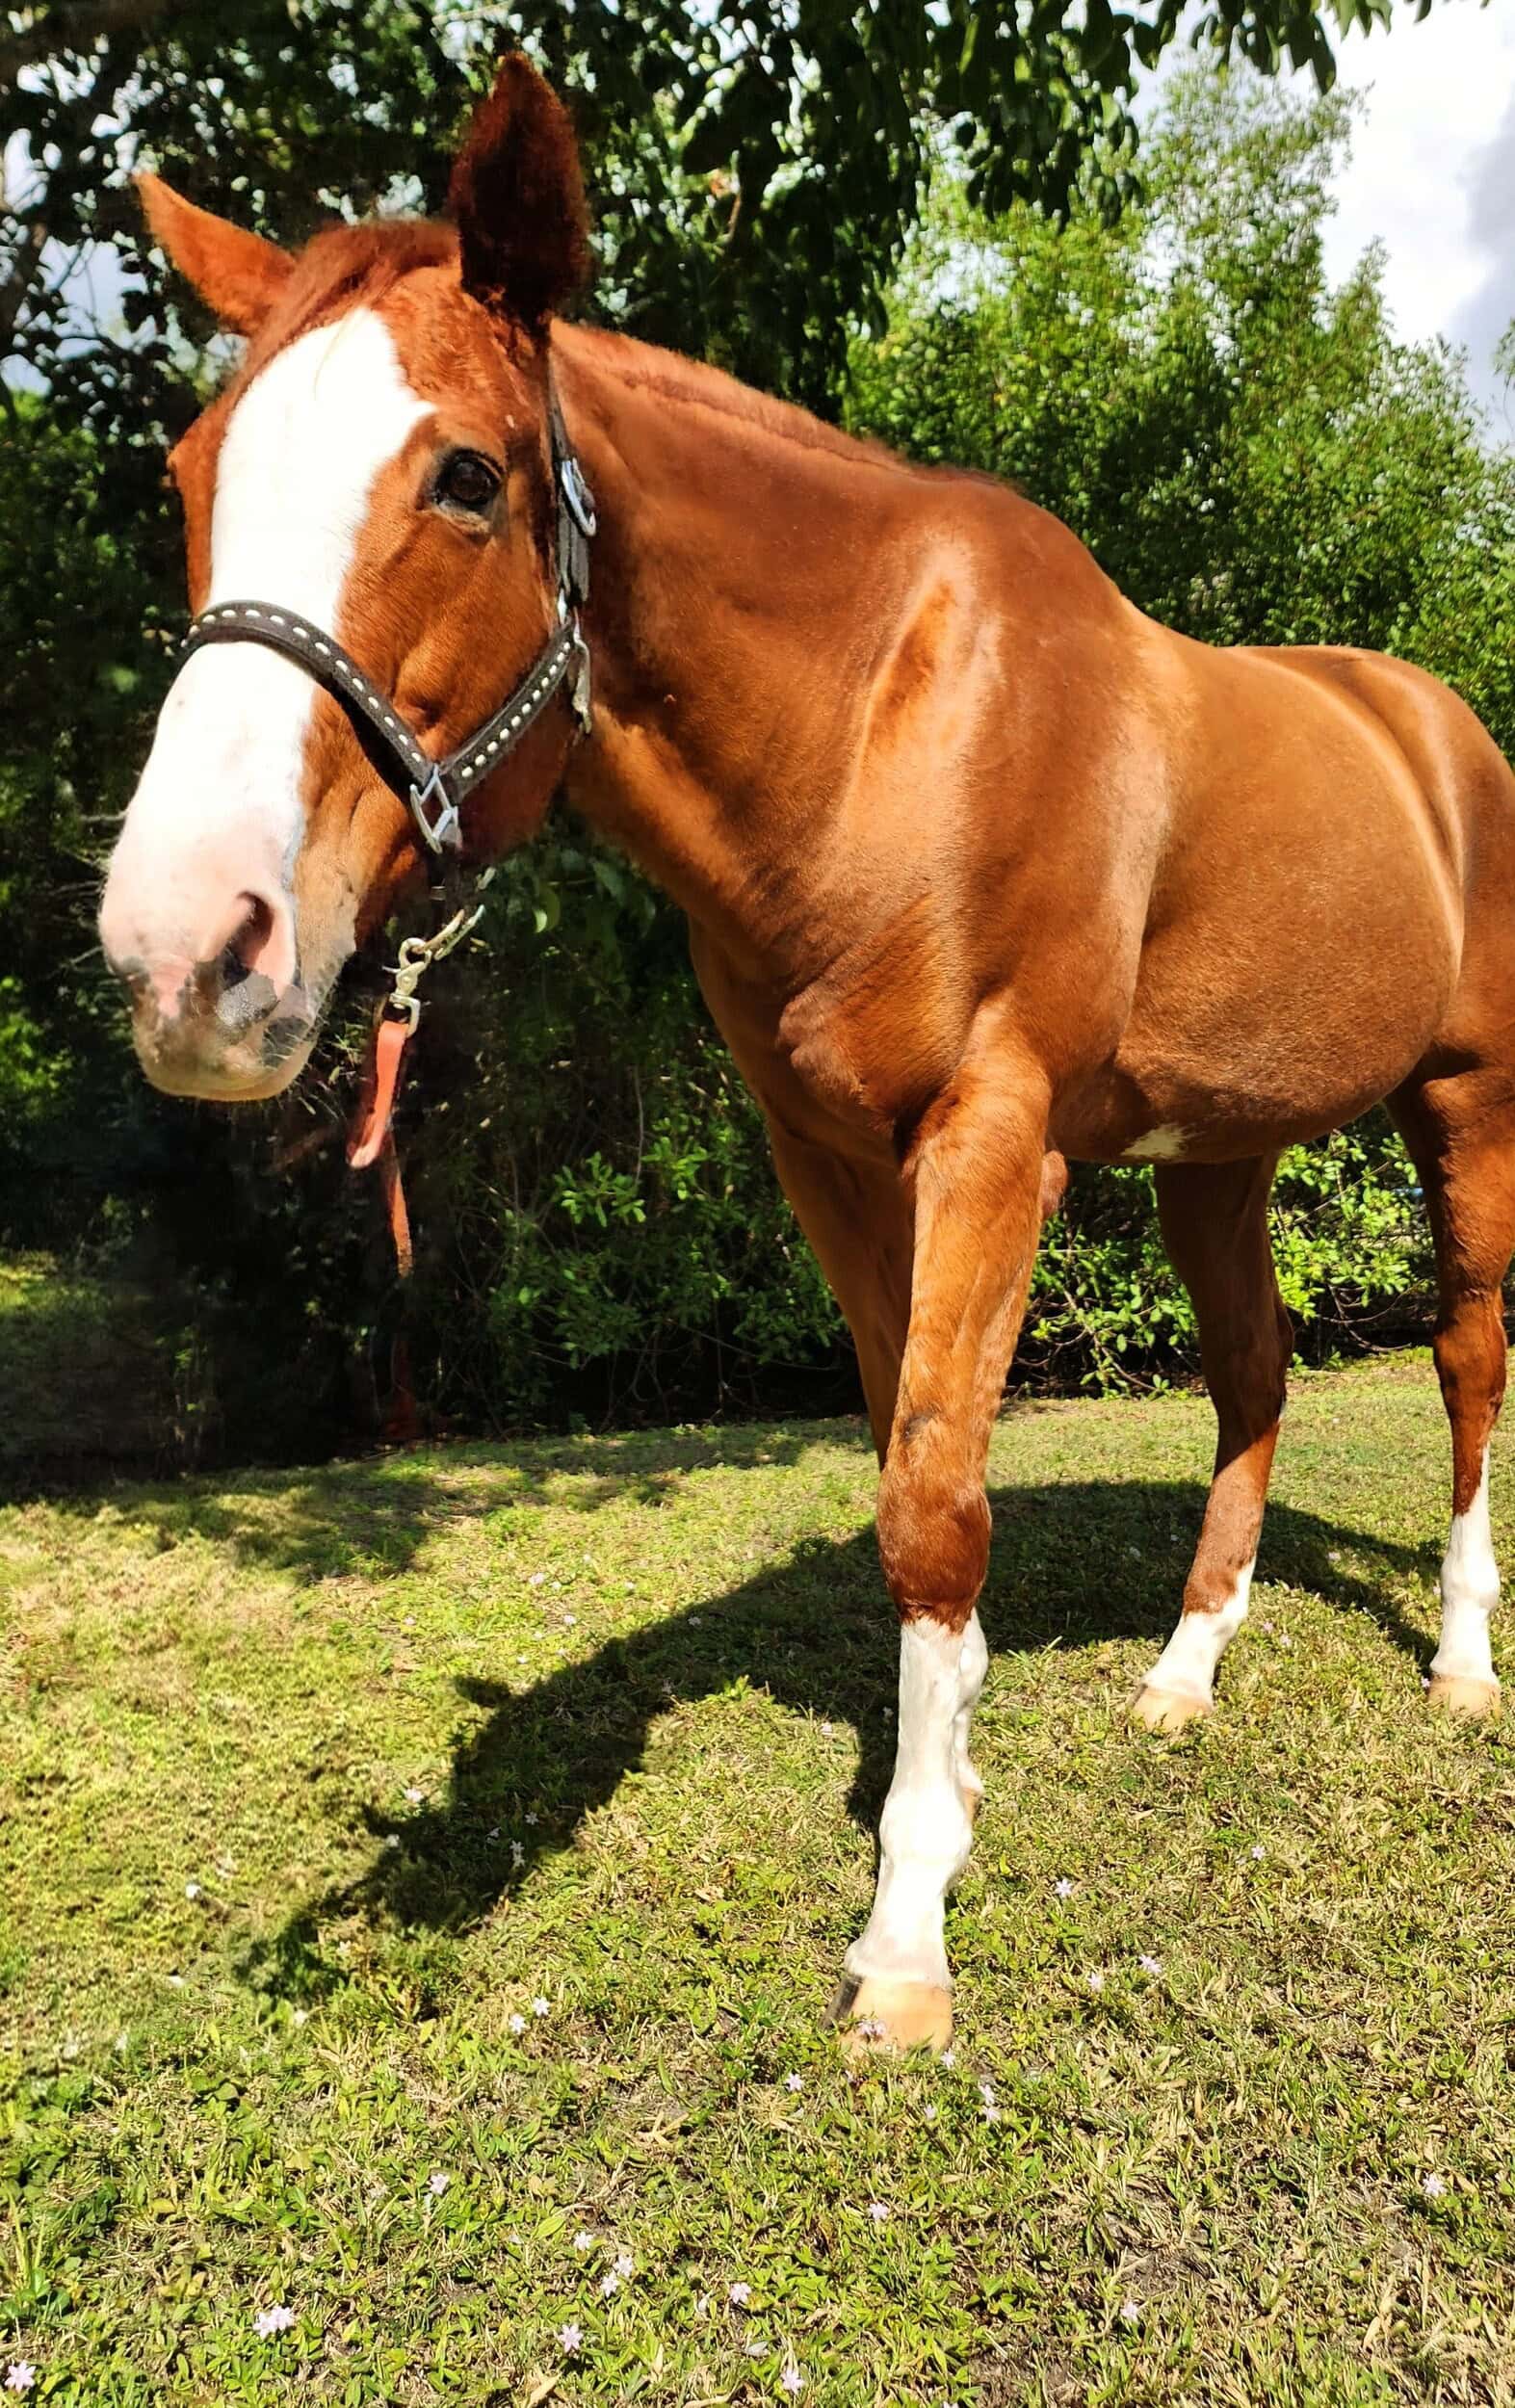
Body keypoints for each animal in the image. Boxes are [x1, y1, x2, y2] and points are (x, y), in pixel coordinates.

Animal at [99, 54, 1515, 2054]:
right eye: (190, 478)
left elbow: (933, 1494)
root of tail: (1429, 726)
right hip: (1221, 1158)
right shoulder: (827, 1157)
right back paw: (1182, 1672)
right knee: (1252, 1381)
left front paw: (908, 1928)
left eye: (466, 476)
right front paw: (960, 1762)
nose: (184, 954)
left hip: (1461, 1107)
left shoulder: (993, 1138)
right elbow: (897, 1450)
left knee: (1464, 1357)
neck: (886, 719)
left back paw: (1458, 1659)